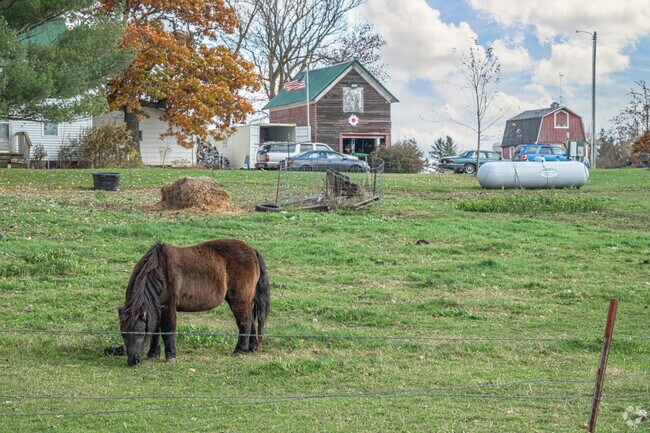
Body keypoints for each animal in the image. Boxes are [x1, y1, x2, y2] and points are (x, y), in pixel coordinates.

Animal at [114, 239, 270, 366]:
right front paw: (153, 354)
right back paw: (251, 348)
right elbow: (155, 331)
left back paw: (239, 350)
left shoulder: (168, 306)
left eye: (140, 333)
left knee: (244, 322)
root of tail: (253, 251)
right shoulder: (157, 307)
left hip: (239, 300)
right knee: (250, 322)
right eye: (123, 334)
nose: (133, 361)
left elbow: (167, 330)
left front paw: (170, 356)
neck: (160, 270)